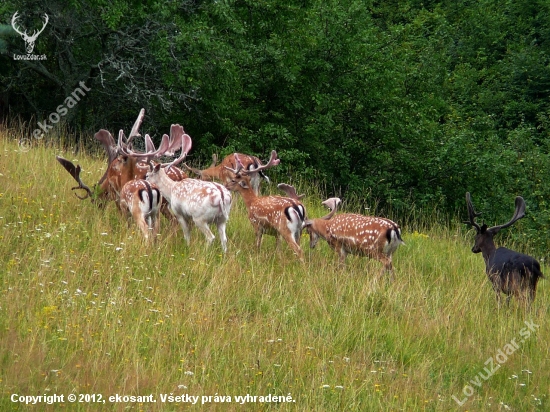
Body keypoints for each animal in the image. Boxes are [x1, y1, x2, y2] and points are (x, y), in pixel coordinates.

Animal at [122, 125, 234, 253]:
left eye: (146, 175)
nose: (141, 180)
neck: (171, 191)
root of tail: (222, 196)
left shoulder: (179, 212)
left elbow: (186, 234)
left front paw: (187, 247)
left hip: (200, 218)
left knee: (211, 237)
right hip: (223, 219)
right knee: (224, 239)